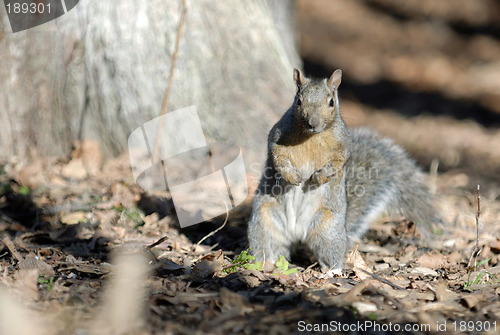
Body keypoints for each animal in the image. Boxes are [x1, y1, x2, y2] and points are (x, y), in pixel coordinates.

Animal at [247, 67, 442, 274]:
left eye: (331, 102)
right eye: (298, 101)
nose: (313, 122)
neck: (310, 136)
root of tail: (297, 235)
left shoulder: (344, 144)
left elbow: (339, 162)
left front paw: (320, 177)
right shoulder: (277, 136)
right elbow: (277, 156)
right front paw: (292, 176)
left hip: (328, 231)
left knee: (331, 254)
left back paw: (331, 271)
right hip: (264, 223)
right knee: (268, 247)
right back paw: (263, 263)